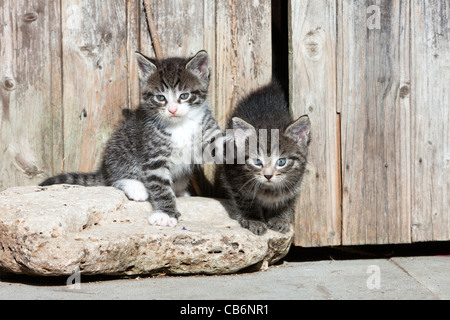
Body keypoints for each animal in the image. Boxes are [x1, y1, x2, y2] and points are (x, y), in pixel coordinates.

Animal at [41, 50, 221, 228]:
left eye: (184, 96)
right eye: (160, 97)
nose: (172, 110)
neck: (180, 125)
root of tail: (104, 169)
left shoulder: (207, 129)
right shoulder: (153, 156)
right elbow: (160, 187)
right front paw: (165, 213)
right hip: (120, 147)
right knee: (114, 177)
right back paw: (136, 187)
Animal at [222, 82, 310, 235]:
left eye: (281, 162)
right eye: (257, 161)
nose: (268, 176)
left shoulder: (296, 181)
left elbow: (287, 199)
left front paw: (280, 218)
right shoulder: (233, 177)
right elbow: (246, 199)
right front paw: (253, 219)